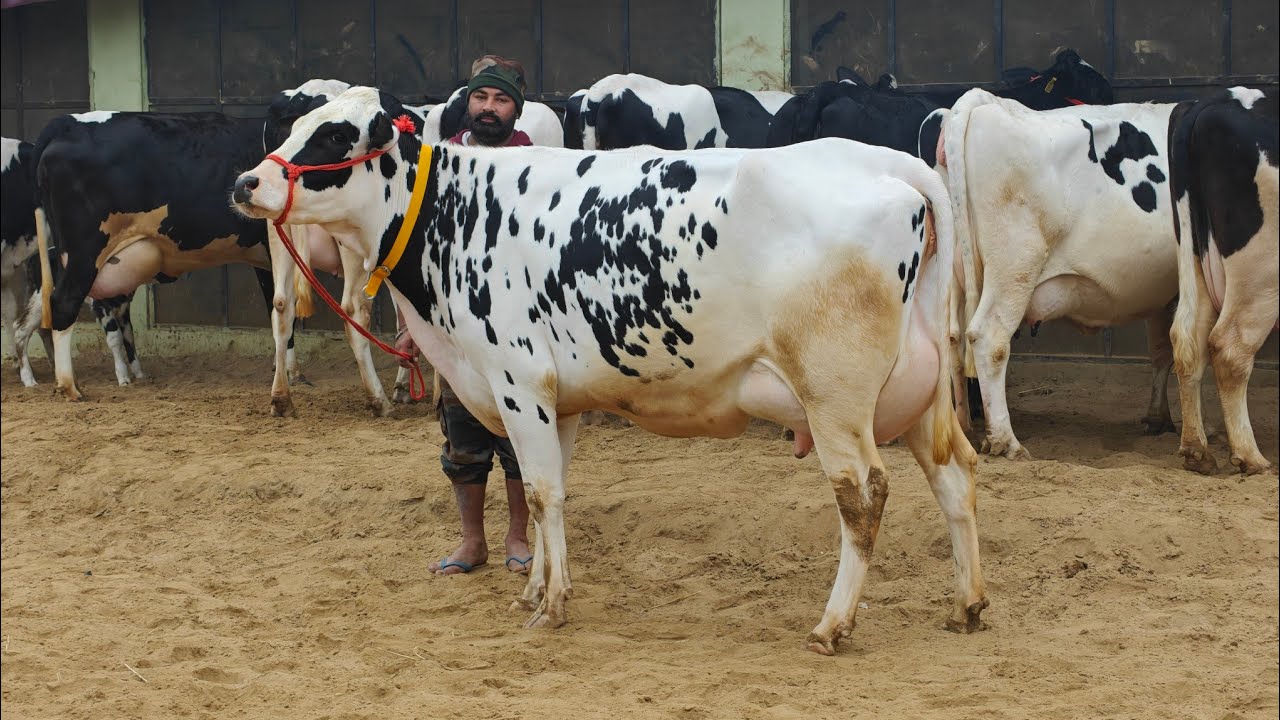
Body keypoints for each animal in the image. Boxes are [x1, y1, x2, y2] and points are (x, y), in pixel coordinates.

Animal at [233, 86, 986, 655]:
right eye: (293, 125)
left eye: (334, 136)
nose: (247, 182)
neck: (458, 212)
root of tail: (890, 164)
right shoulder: (554, 399)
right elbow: (550, 495)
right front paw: (535, 588)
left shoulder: (517, 383)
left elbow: (540, 492)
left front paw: (552, 605)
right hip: (915, 395)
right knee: (954, 474)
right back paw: (967, 604)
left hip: (835, 396)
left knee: (863, 495)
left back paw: (832, 625)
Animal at [939, 89, 1179, 459]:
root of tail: (986, 102)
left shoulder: (1162, 292)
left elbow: (1161, 349)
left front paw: (1158, 418)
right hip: (1015, 264)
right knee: (988, 338)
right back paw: (1006, 441)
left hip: (958, 278)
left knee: (952, 339)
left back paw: (965, 428)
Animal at [1167, 87, 1279, 476]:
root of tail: (1210, 101)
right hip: (1262, 271)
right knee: (1229, 347)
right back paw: (1250, 456)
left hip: (1194, 253)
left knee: (1187, 337)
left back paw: (1196, 450)